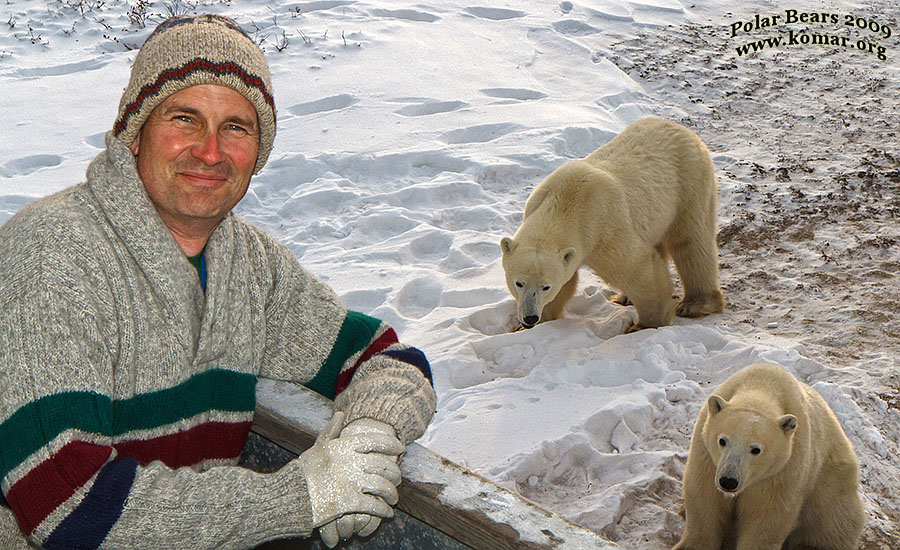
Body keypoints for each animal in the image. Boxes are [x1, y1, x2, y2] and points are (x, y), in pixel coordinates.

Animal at [500, 117, 724, 332]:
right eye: (518, 283)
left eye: (546, 286)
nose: (530, 317)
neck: (567, 202)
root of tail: (682, 129)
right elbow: (567, 282)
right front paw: (528, 325)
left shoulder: (604, 226)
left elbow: (637, 268)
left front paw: (644, 325)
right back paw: (626, 297)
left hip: (689, 181)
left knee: (691, 241)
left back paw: (694, 304)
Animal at [676, 364, 864, 548]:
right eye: (722, 440)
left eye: (755, 449)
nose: (728, 481)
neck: (763, 384)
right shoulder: (706, 454)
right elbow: (705, 499)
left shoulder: (782, 469)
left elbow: (767, 516)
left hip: (831, 485)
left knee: (833, 523)